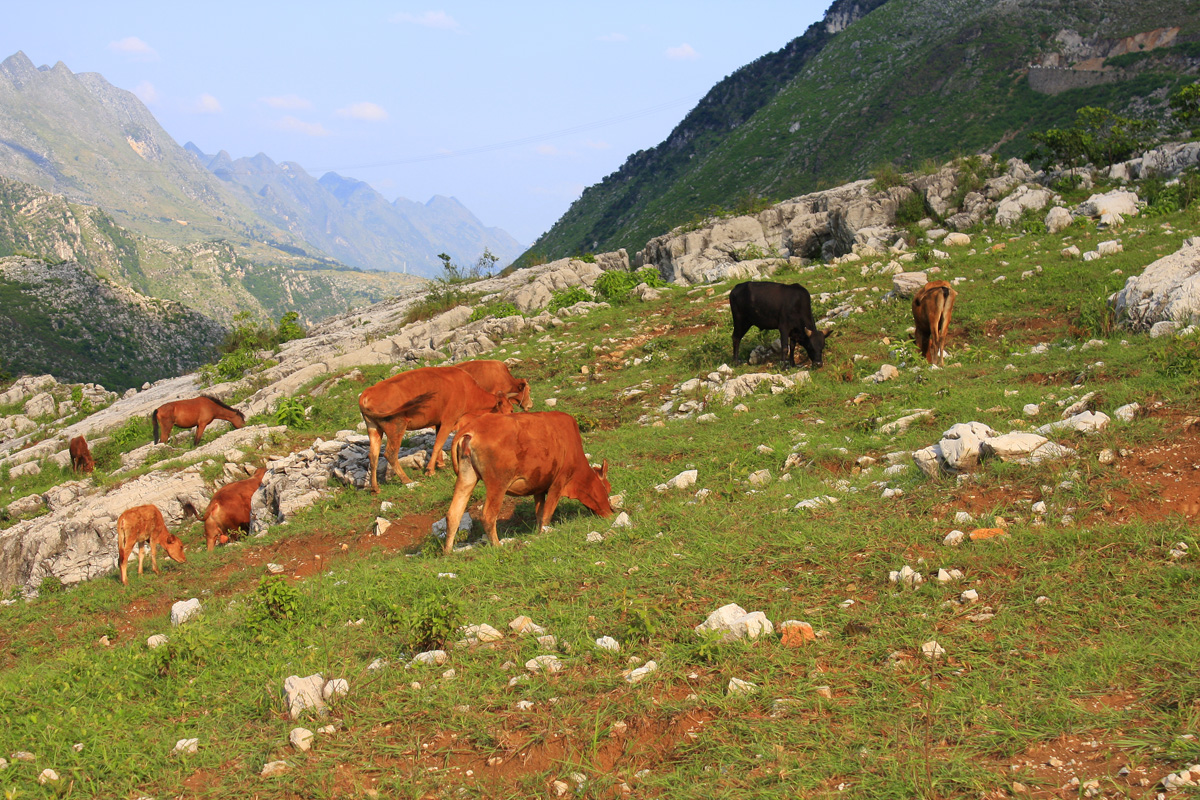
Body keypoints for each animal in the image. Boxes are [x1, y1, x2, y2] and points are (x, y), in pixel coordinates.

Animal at [352, 367, 508, 491]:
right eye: (510, 410)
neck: (466, 388)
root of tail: (366, 393)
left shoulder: (439, 422)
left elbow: (438, 443)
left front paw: (440, 464)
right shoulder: (449, 420)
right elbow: (438, 443)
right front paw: (430, 470)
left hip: (373, 428)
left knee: (373, 456)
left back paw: (375, 488)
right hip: (396, 426)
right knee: (390, 454)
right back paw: (406, 480)